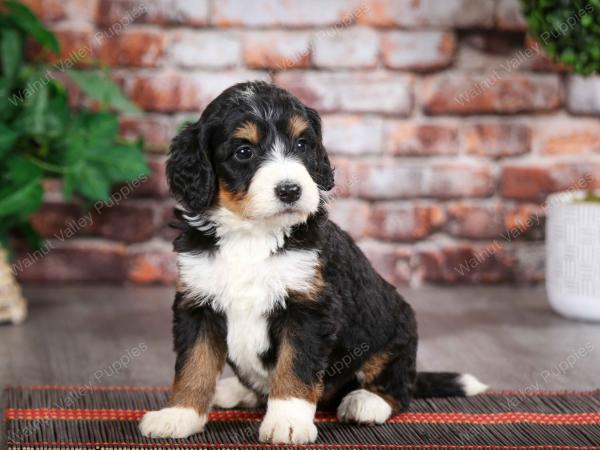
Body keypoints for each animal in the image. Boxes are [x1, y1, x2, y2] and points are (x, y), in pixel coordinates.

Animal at [139, 81, 488, 442]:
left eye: (302, 144)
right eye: (244, 152)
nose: (290, 190)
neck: (252, 235)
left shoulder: (308, 307)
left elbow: (295, 368)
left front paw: (287, 421)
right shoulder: (197, 303)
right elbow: (194, 364)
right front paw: (179, 415)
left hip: (396, 331)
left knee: (397, 388)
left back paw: (365, 402)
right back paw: (236, 390)